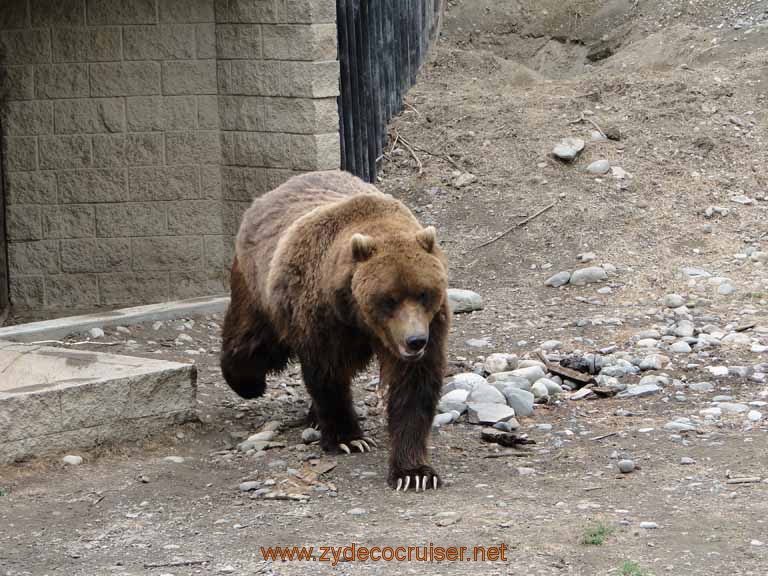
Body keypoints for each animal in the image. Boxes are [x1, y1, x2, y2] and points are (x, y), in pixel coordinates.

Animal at [220, 170, 450, 490]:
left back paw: (312, 416)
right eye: (389, 299)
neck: (358, 317)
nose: (415, 340)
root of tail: (267, 196)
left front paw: (414, 473)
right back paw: (248, 383)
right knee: (253, 343)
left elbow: (415, 386)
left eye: (424, 293)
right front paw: (349, 439)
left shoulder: (431, 324)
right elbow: (327, 373)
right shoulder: (323, 319)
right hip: (258, 287)